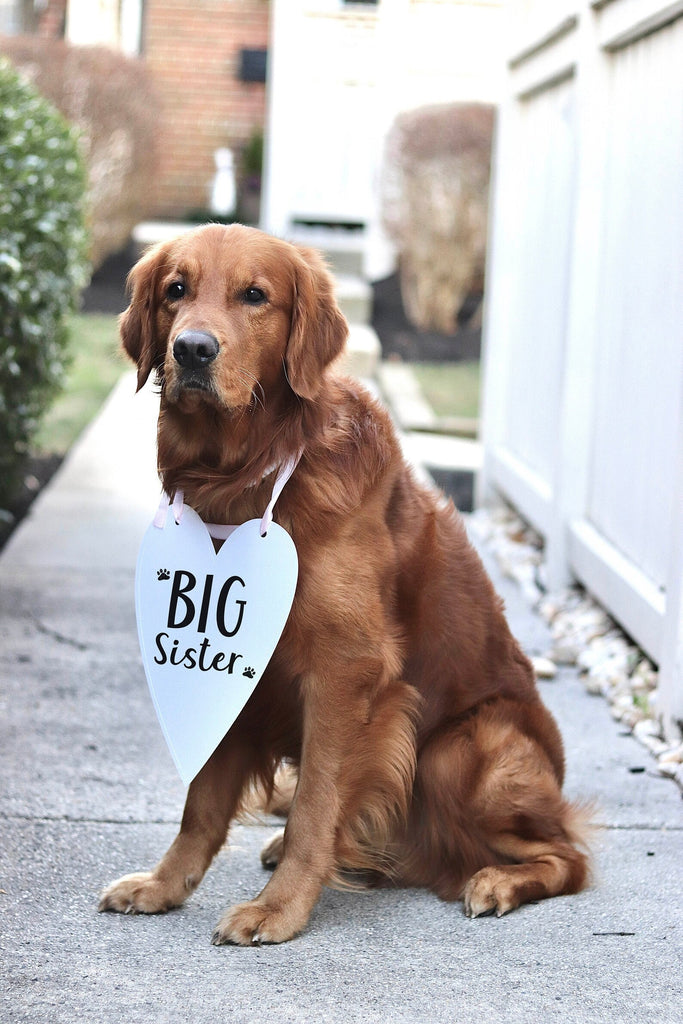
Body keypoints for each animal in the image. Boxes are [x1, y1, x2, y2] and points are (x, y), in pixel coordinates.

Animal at [98, 224, 589, 942]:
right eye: (175, 289)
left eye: (255, 295)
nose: (192, 349)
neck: (245, 479)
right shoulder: (234, 675)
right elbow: (202, 805)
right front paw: (164, 885)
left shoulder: (345, 671)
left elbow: (315, 804)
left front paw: (278, 909)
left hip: (461, 750)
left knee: (568, 857)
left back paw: (496, 880)